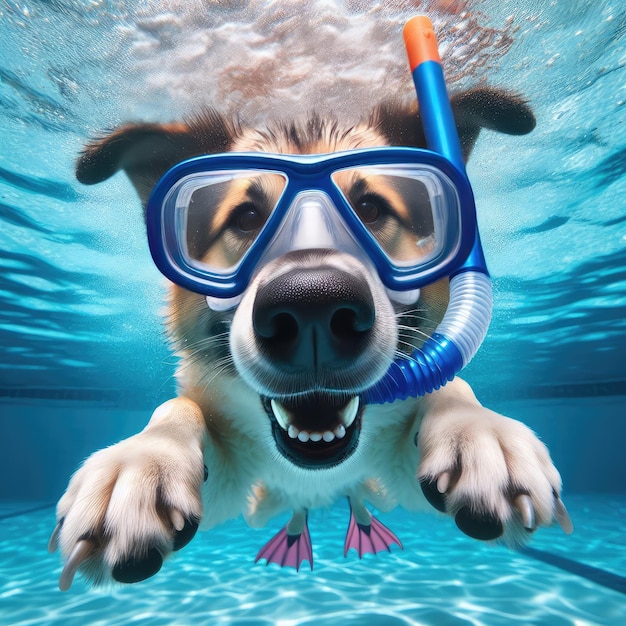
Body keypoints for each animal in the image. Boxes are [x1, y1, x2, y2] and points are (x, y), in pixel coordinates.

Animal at [50, 85, 572, 588]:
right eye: (246, 217)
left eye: (370, 208)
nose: (313, 306)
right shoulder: (229, 487)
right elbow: (177, 408)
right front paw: (141, 461)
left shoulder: (404, 479)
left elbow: (453, 386)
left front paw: (480, 431)